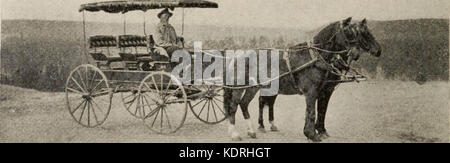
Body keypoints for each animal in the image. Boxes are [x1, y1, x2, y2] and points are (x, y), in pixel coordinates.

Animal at [223, 17, 382, 141]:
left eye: (361, 33)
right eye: (350, 32)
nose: (378, 50)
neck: (316, 57)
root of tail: (238, 55)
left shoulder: (322, 90)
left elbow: (319, 110)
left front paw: (316, 132)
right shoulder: (313, 91)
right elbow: (312, 112)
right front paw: (312, 134)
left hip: (254, 87)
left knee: (244, 104)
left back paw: (251, 131)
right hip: (240, 87)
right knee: (234, 106)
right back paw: (234, 133)